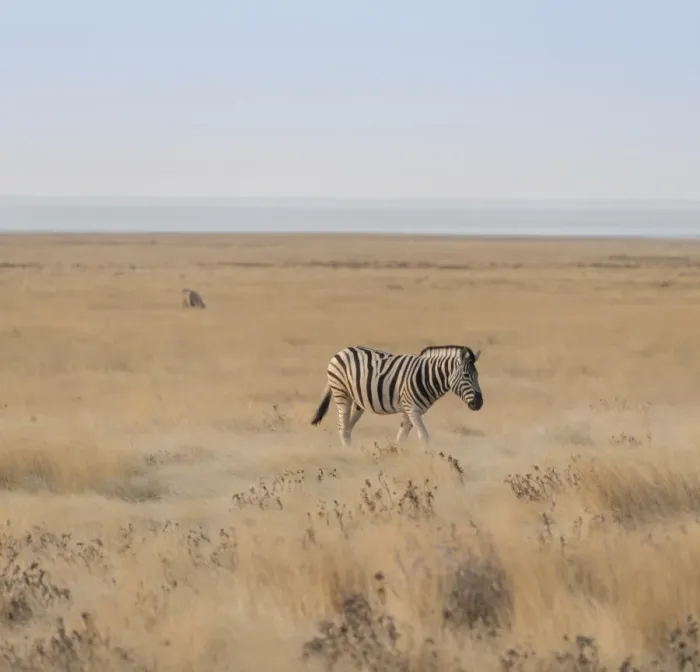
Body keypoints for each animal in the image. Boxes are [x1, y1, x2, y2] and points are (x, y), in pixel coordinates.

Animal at [310, 344, 483, 447]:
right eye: (466, 375)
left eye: (478, 376)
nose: (479, 403)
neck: (427, 376)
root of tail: (341, 351)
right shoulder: (412, 409)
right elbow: (424, 438)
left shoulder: (410, 410)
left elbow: (401, 438)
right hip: (341, 393)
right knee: (343, 426)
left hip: (357, 401)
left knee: (346, 427)